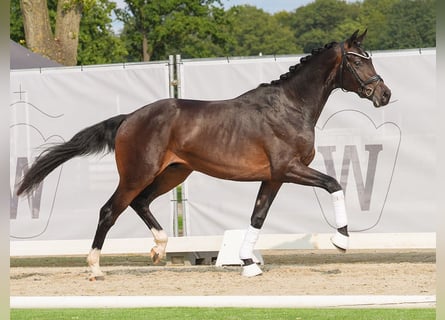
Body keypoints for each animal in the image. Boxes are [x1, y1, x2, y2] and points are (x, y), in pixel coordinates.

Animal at [17, 30, 390, 280]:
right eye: (358, 60)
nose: (384, 94)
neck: (290, 106)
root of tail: (129, 118)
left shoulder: (273, 177)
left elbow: (257, 217)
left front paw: (248, 263)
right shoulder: (290, 169)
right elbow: (334, 184)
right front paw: (341, 240)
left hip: (173, 173)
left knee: (141, 203)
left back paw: (159, 249)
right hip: (138, 173)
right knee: (110, 210)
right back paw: (95, 268)